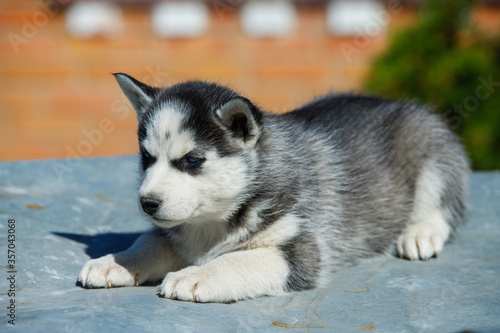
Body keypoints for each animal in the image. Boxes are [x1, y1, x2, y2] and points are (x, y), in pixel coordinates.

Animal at [78, 74, 468, 302]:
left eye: (192, 160)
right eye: (147, 157)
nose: (148, 203)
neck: (213, 223)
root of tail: (399, 103)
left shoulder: (302, 251)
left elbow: (236, 260)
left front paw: (197, 274)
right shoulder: (175, 233)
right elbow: (149, 241)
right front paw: (115, 262)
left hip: (431, 147)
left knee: (444, 207)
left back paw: (421, 233)